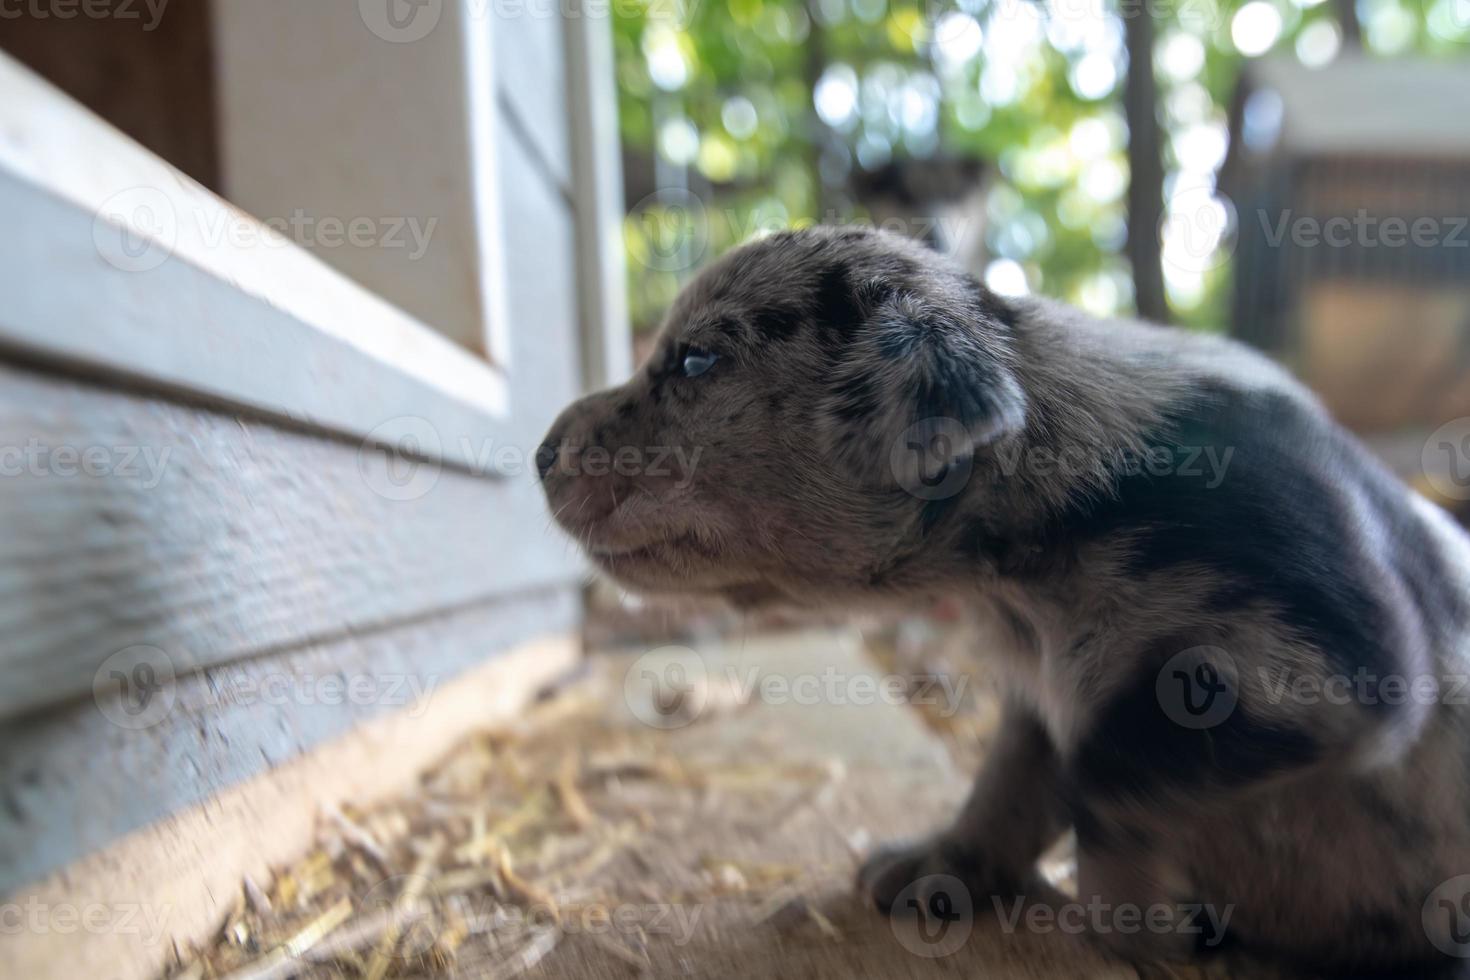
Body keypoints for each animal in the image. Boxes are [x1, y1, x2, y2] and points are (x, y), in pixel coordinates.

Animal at [535, 227, 1470, 975]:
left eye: (696, 360)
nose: (540, 452)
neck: (1025, 592)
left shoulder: (1329, 661)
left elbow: (1098, 768)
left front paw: (1147, 938)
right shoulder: (1033, 695)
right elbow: (1007, 783)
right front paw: (900, 880)